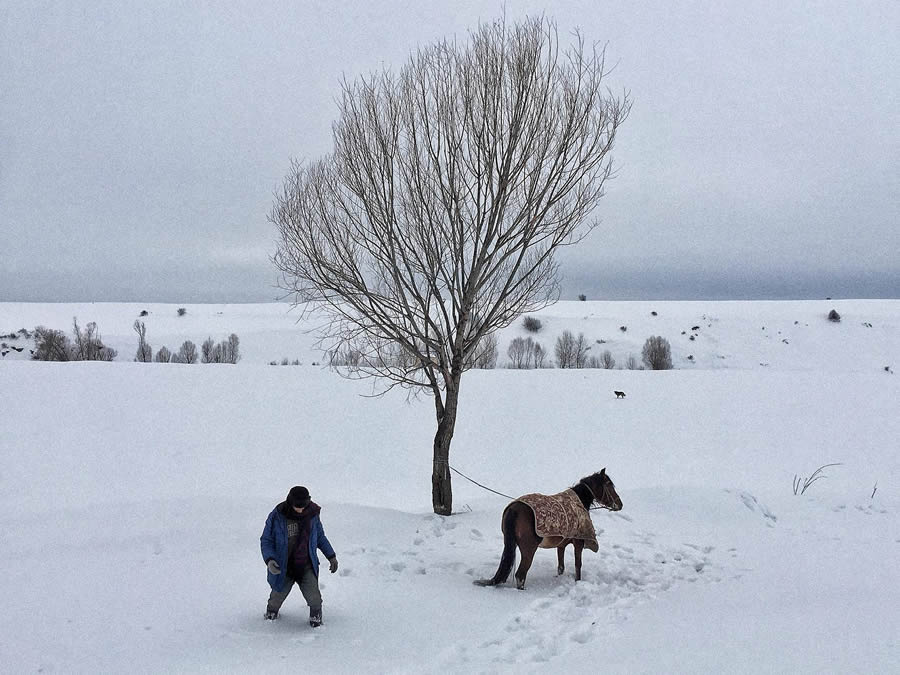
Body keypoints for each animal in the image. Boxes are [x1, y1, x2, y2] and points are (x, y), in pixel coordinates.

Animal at [474, 470, 624, 592]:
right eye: (609, 485)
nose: (620, 504)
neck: (578, 502)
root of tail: (514, 509)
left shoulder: (561, 545)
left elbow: (561, 567)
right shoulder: (578, 543)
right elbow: (578, 565)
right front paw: (578, 581)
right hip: (529, 550)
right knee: (520, 575)